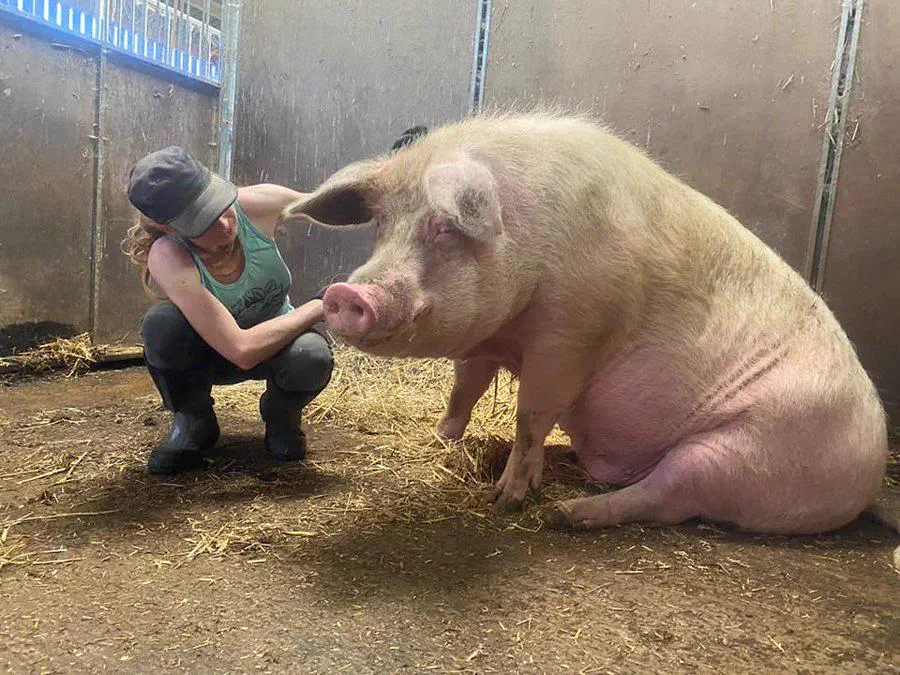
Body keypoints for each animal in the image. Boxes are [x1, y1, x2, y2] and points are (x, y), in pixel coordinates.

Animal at [280, 111, 889, 535]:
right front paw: (441, 438)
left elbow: (532, 414)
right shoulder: (488, 335)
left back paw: (567, 514)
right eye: (382, 223)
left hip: (735, 454)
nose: (345, 293)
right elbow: (465, 386)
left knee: (666, 496)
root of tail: (872, 469)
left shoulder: (572, 333)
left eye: (445, 228)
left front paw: (506, 499)